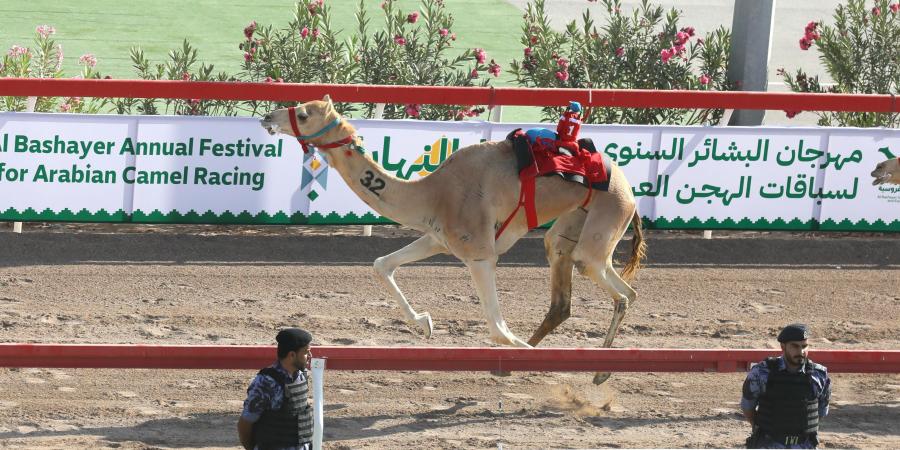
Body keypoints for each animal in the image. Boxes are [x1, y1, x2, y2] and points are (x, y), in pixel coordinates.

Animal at [260, 95, 648, 384]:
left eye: (304, 114)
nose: (266, 116)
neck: (433, 192)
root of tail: (631, 192)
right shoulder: (438, 238)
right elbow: (382, 264)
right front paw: (425, 324)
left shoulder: (479, 252)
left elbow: (498, 329)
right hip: (571, 222)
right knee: (564, 284)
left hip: (608, 216)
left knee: (621, 289)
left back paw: (599, 372)